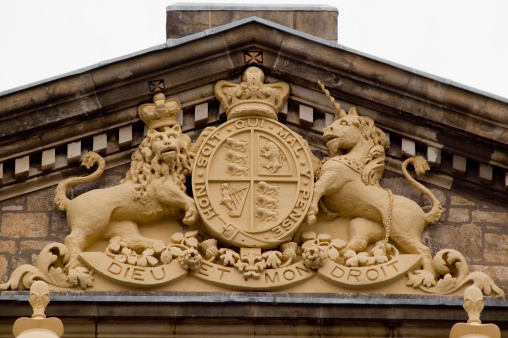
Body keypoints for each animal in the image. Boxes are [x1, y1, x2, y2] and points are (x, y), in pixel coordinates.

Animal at [54, 94, 213, 272]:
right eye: (159, 139)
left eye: (172, 137)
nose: (167, 144)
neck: (164, 165)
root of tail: (71, 202)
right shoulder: (163, 189)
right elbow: (184, 198)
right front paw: (192, 213)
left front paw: (207, 133)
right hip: (91, 222)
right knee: (73, 240)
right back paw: (75, 266)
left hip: (121, 223)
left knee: (131, 239)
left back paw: (155, 244)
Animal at [306, 83, 444, 286]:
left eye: (344, 123)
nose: (326, 130)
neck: (353, 161)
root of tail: (424, 215)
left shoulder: (333, 180)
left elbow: (317, 188)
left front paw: (310, 213)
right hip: (365, 224)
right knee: (358, 243)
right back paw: (337, 254)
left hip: (403, 231)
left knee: (424, 250)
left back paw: (425, 277)